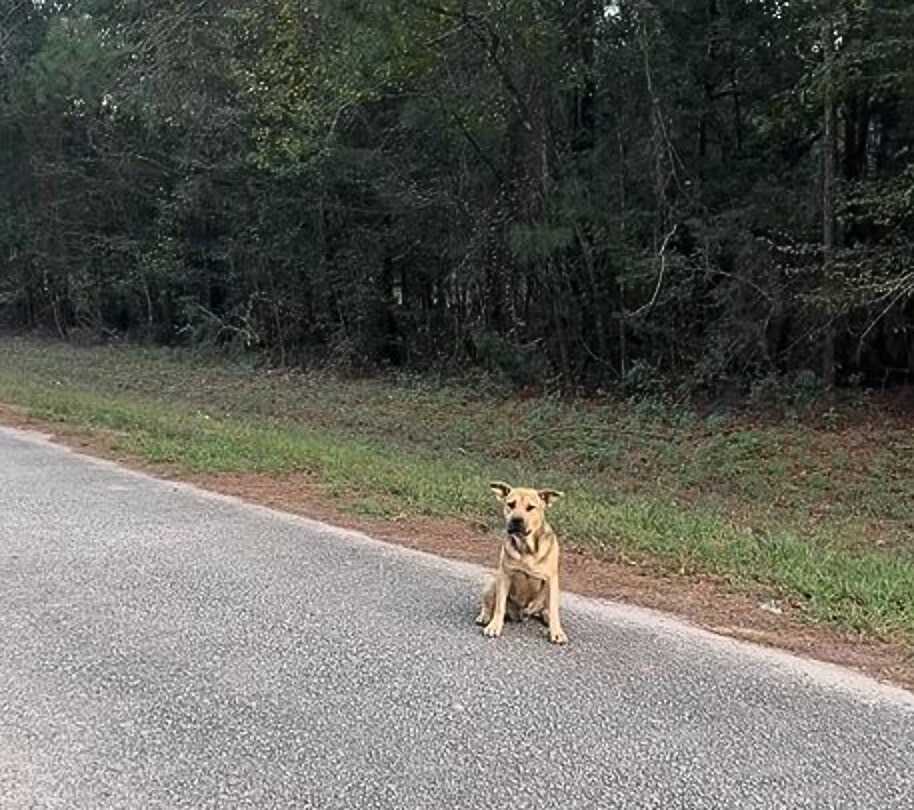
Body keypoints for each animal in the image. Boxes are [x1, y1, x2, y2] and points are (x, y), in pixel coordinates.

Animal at [474, 480, 568, 644]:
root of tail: (522, 614)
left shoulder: (552, 579)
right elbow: (499, 606)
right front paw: (494, 626)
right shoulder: (505, 575)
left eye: (531, 507)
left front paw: (556, 632)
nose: (516, 520)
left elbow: (554, 610)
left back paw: (546, 616)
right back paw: (485, 616)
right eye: (510, 504)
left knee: (546, 608)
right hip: (493, 582)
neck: (526, 546)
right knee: (489, 604)